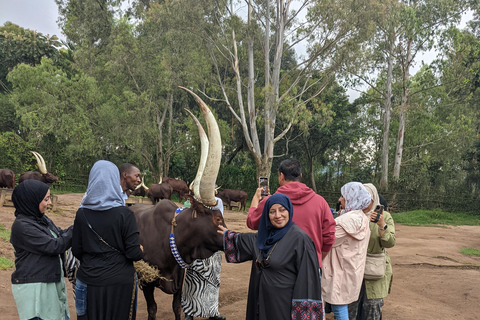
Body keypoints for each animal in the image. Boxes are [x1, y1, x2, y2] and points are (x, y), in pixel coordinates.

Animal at [130, 87, 226, 320]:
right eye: (217, 219)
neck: (170, 236)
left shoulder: (180, 281)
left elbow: (177, 308)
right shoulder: (147, 280)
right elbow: (152, 309)